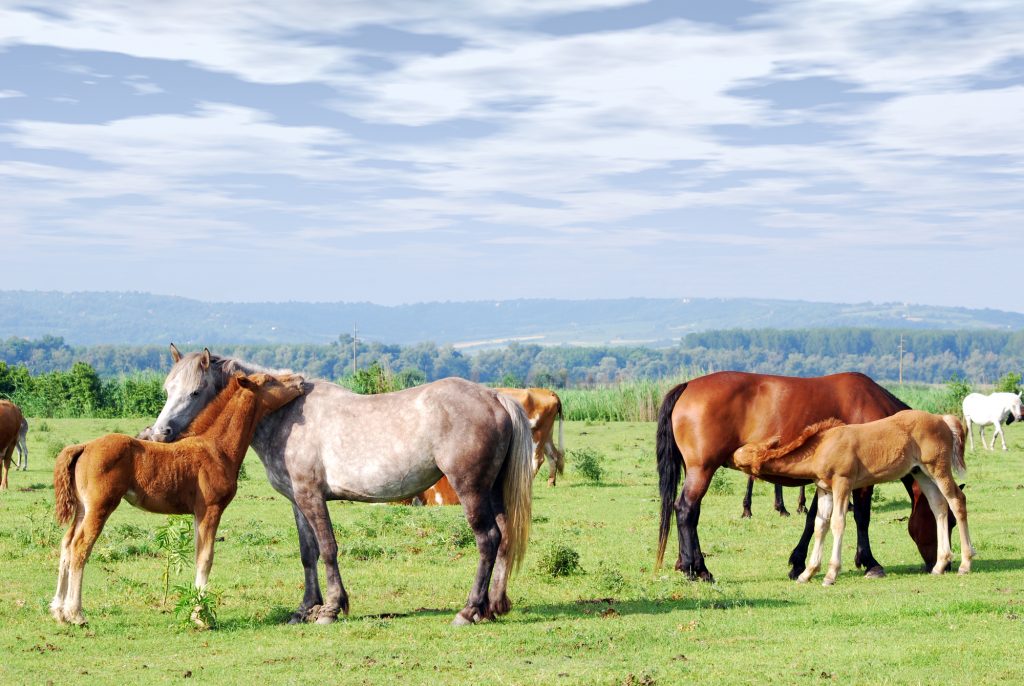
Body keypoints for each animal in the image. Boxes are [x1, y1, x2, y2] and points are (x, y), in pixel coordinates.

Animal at [50, 372, 307, 625]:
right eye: (269, 380)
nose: (301, 380)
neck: (216, 448)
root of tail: (84, 446)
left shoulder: (197, 514)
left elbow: (198, 554)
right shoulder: (211, 509)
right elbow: (205, 558)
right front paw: (200, 616)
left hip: (82, 508)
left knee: (66, 544)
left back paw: (59, 611)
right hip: (100, 506)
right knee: (80, 547)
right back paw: (76, 614)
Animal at [144, 344, 534, 626]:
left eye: (195, 392)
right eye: (168, 389)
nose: (160, 433)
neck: (286, 414)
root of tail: (495, 397)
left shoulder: (312, 497)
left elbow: (328, 549)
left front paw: (330, 608)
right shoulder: (297, 500)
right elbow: (308, 553)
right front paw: (304, 609)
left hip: (471, 491)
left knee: (487, 540)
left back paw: (469, 610)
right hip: (492, 491)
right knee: (504, 538)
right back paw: (494, 606)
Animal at [656, 371, 939, 582]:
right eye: (944, 521)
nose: (940, 565)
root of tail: (688, 386)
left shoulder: (826, 477)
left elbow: (813, 518)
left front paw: (798, 563)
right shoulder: (859, 480)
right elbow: (861, 517)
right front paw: (870, 563)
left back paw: (687, 564)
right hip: (702, 469)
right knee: (686, 510)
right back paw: (697, 570)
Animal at [733, 410, 973, 585]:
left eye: (742, 458)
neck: (822, 447)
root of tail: (943, 420)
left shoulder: (843, 484)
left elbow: (838, 523)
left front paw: (830, 575)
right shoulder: (824, 489)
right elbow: (820, 525)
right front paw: (807, 573)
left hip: (937, 468)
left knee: (957, 500)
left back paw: (965, 564)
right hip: (920, 472)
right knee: (939, 506)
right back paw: (940, 565)